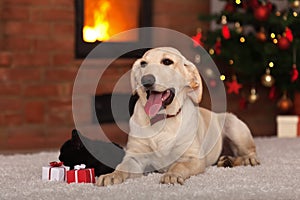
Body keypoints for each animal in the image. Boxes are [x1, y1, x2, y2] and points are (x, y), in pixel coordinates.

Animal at [95, 46, 258, 186]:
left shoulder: (194, 158)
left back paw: (246, 159)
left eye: (167, 62)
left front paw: (171, 175)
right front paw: (111, 175)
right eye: (143, 64)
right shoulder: (134, 157)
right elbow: (122, 166)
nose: (146, 80)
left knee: (251, 152)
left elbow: (179, 166)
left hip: (233, 124)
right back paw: (227, 160)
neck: (162, 120)